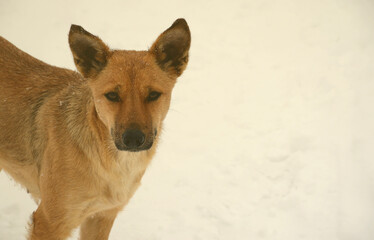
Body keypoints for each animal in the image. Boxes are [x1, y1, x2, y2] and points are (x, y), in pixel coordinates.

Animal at [0, 17, 191, 239]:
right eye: (112, 95)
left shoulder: (101, 216)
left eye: (153, 95)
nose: (133, 139)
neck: (109, 162)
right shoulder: (49, 221)